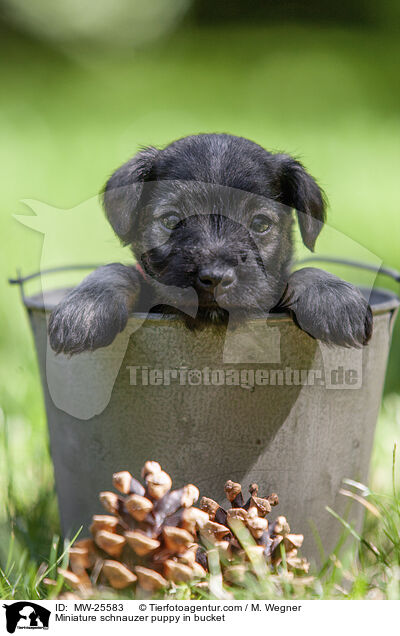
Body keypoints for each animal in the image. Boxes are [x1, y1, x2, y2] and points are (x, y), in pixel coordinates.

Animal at [47, 134, 372, 352]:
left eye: (260, 224)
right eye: (171, 220)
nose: (215, 278)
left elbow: (304, 272)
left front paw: (334, 297)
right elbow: (116, 270)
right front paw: (86, 308)